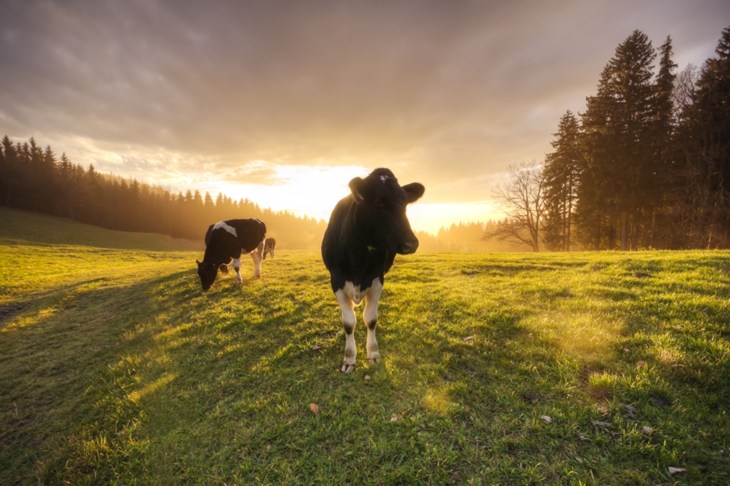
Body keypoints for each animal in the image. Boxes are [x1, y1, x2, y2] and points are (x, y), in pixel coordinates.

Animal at [321, 168, 425, 372]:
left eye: (405, 204)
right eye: (380, 204)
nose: (411, 243)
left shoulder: (377, 279)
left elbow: (370, 319)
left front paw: (373, 353)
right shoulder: (336, 280)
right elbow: (348, 322)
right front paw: (349, 357)